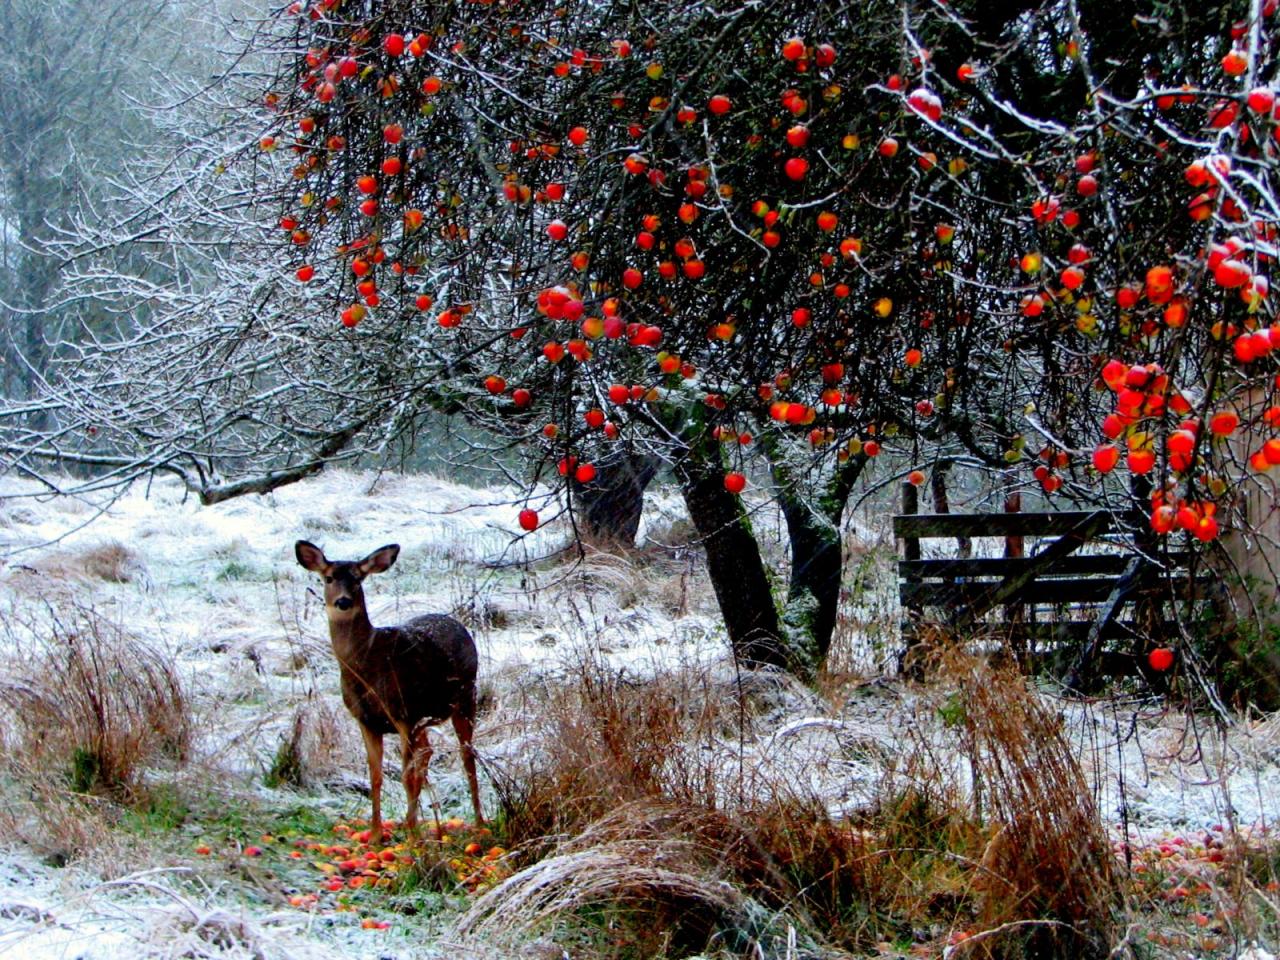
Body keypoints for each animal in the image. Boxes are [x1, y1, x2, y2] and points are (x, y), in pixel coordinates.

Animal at [294, 545, 483, 844]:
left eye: (358, 579)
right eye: (329, 578)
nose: (343, 602)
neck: (367, 666)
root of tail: (455, 623)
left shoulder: (401, 713)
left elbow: (406, 777)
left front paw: (413, 838)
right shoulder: (367, 720)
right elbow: (376, 776)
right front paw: (375, 834)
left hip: (465, 696)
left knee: (467, 756)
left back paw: (478, 822)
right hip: (424, 717)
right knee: (428, 750)